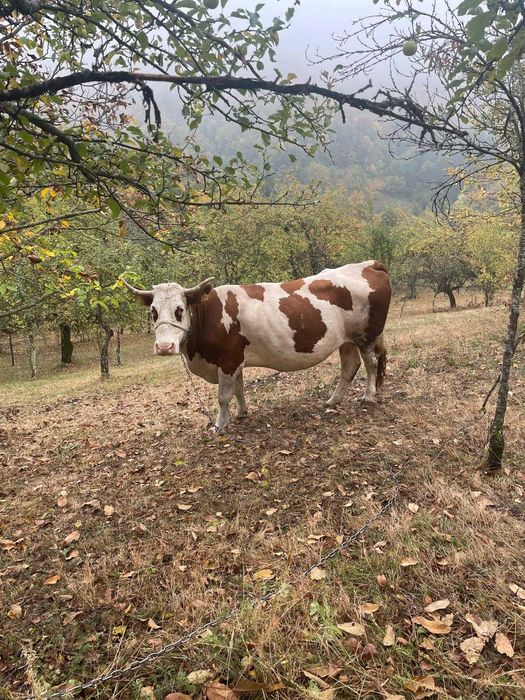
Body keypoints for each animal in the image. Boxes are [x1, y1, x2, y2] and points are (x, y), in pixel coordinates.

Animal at [123, 260, 391, 431]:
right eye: (153, 312)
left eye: (179, 310)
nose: (164, 346)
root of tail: (369, 264)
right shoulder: (235, 361)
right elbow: (239, 389)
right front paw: (241, 413)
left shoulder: (228, 360)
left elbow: (224, 396)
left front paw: (220, 425)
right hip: (345, 340)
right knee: (349, 366)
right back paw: (333, 401)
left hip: (366, 336)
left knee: (370, 364)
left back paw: (368, 396)